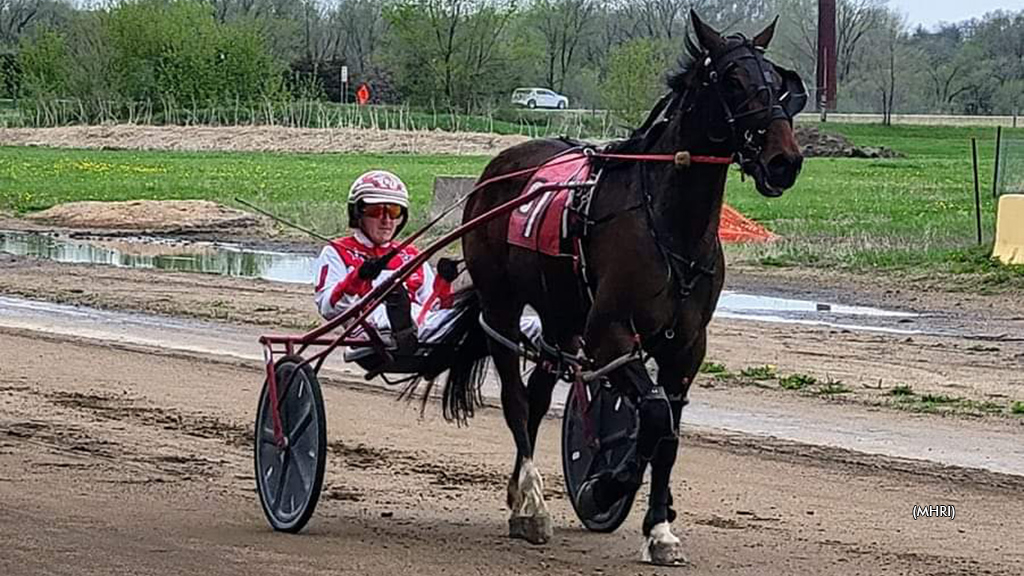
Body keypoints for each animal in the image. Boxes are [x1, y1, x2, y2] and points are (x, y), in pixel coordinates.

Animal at [434, 10, 806, 565]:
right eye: (732, 80)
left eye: (778, 82)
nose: (785, 160)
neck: (667, 223)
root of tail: (498, 168)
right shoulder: (610, 332)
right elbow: (651, 415)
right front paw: (604, 486)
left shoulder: (686, 345)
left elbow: (668, 430)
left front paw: (661, 527)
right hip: (503, 306)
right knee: (517, 400)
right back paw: (532, 505)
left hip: (562, 316)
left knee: (539, 396)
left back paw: (520, 493)